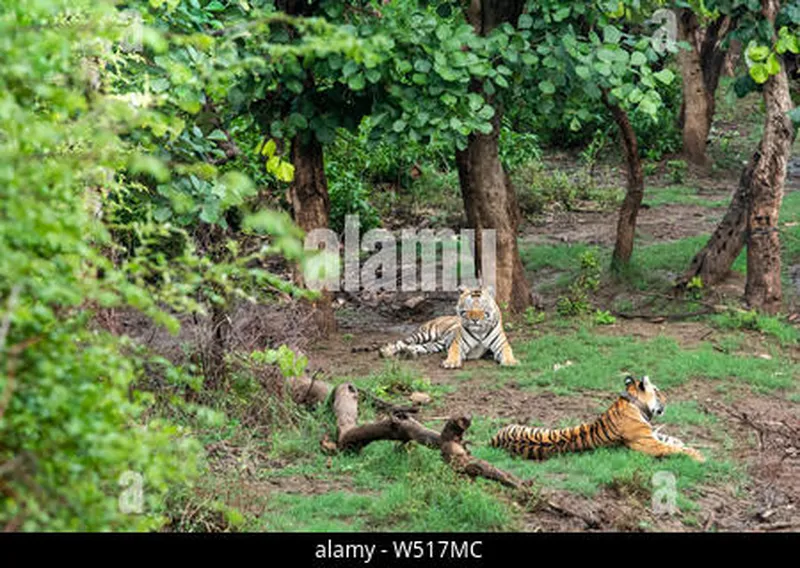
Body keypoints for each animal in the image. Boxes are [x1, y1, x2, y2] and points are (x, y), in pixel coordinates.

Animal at [376, 286, 520, 370]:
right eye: (467, 309)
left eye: (481, 308)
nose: (475, 320)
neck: (479, 331)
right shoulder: (458, 343)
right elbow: (453, 352)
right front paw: (451, 362)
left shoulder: (501, 344)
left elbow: (507, 351)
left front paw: (510, 361)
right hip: (425, 333)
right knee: (402, 342)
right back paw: (386, 351)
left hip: (437, 344)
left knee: (421, 347)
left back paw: (410, 352)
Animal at [490, 374, 704, 464]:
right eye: (658, 391)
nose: (667, 400)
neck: (633, 403)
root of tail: (493, 440)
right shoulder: (648, 444)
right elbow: (673, 449)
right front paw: (699, 456)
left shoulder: (651, 435)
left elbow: (669, 438)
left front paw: (681, 441)